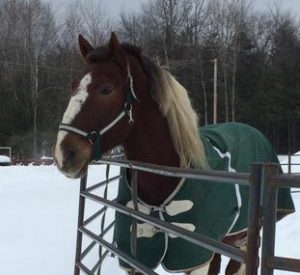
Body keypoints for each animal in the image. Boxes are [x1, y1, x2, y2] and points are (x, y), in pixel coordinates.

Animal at [52, 33, 294, 275]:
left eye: (106, 89)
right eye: (72, 86)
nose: (64, 154)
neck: (166, 176)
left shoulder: (195, 258)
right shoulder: (137, 259)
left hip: (240, 239)